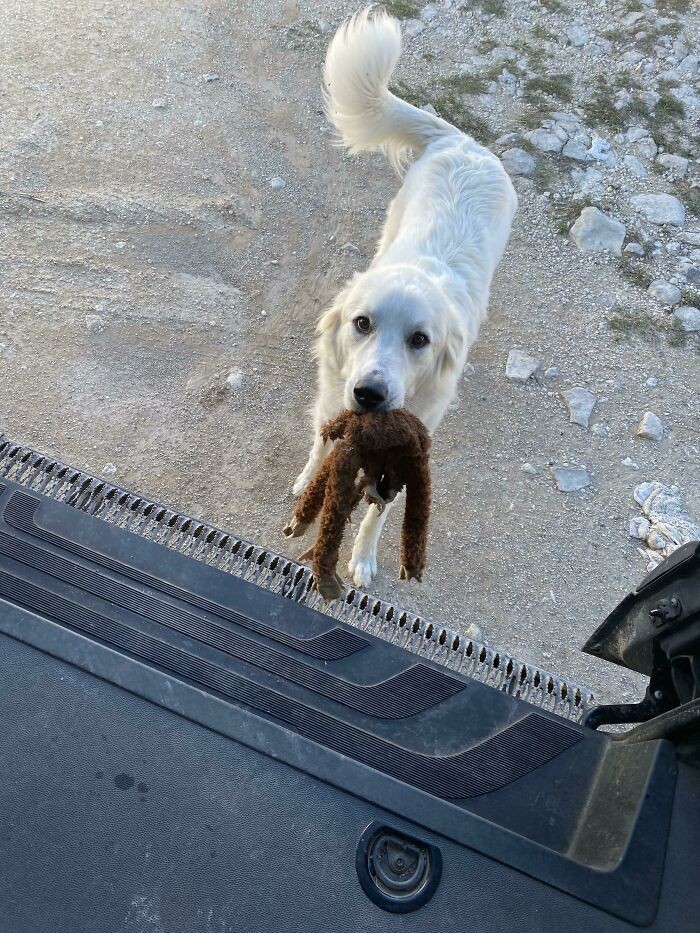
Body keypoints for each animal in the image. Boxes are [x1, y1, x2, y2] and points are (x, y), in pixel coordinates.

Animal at [292, 7, 516, 588]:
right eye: (361, 323)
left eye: (420, 340)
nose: (370, 395)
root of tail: (466, 142)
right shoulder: (333, 398)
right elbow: (321, 445)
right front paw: (306, 483)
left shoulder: (412, 445)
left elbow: (379, 511)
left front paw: (364, 557)